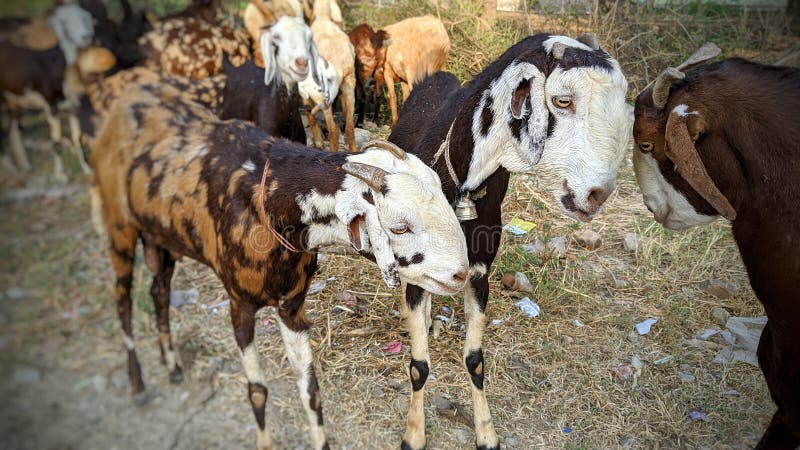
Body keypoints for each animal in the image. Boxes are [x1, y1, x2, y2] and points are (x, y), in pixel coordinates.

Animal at [91, 82, 468, 450]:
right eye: (399, 227)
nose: (460, 273)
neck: (267, 200)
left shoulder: (291, 306)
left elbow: (311, 392)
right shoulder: (239, 305)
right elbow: (257, 392)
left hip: (160, 236)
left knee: (159, 292)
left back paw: (172, 366)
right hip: (119, 228)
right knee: (122, 301)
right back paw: (138, 384)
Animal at [388, 33, 632, 448]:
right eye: (562, 100)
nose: (597, 195)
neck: (460, 184)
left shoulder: (479, 273)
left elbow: (475, 360)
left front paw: (487, 433)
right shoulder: (419, 272)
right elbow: (419, 365)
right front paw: (414, 435)